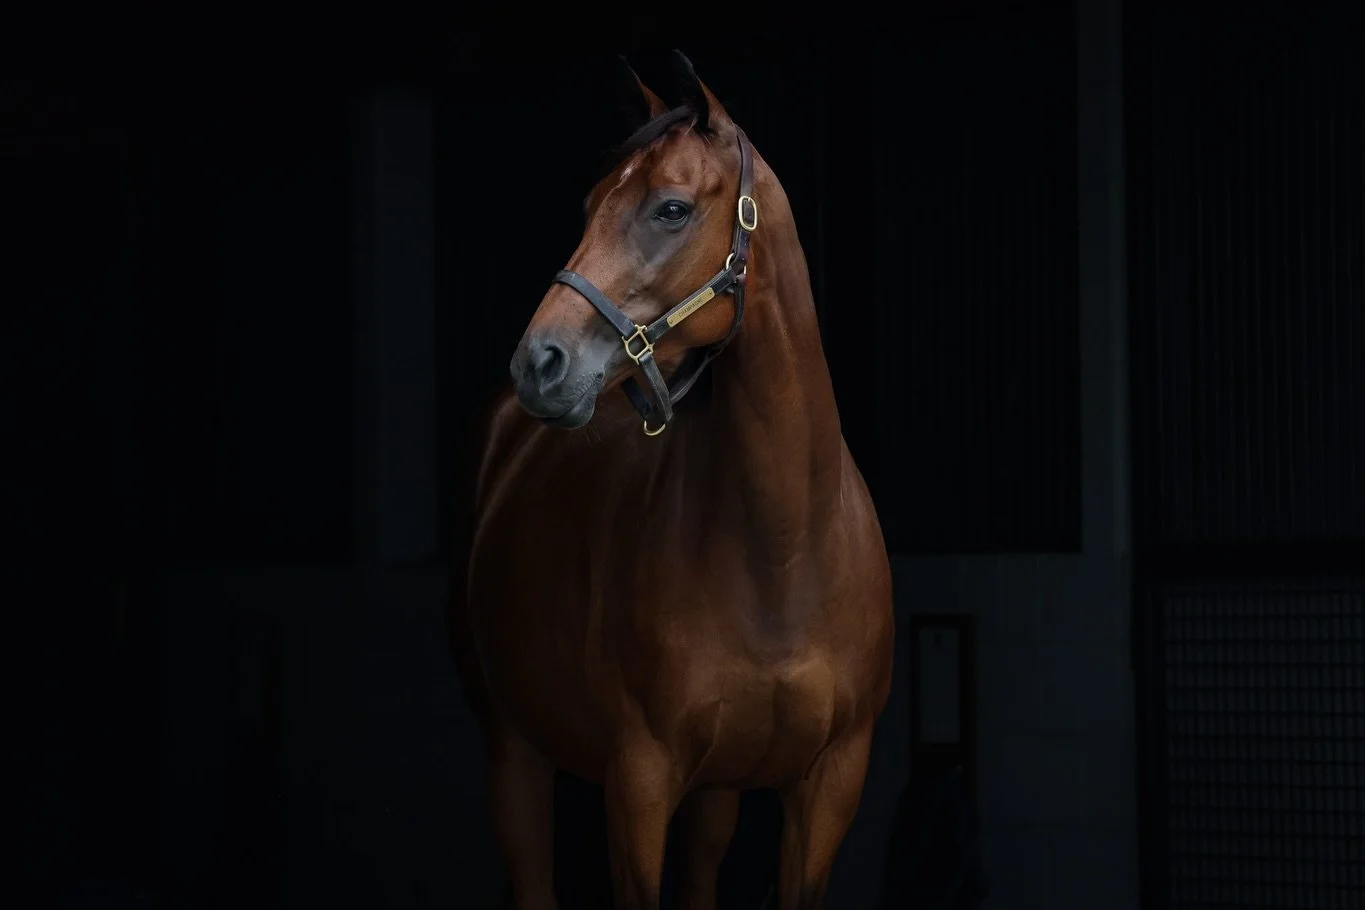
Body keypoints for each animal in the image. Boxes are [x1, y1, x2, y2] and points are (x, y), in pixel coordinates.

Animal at [452, 51, 895, 910]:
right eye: (590, 205)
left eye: (670, 209)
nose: (539, 363)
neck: (783, 552)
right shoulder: (638, 785)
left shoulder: (830, 786)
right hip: (514, 757)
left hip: (716, 795)